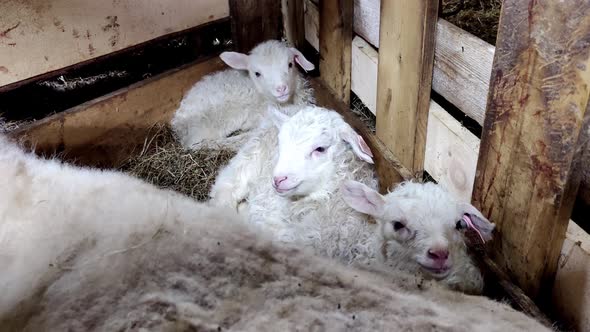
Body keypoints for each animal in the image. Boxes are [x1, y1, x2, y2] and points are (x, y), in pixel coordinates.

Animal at [171, 39, 320, 152]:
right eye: (257, 73)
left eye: (290, 64)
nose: (281, 88)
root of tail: (178, 124)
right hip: (210, 123)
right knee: (200, 144)